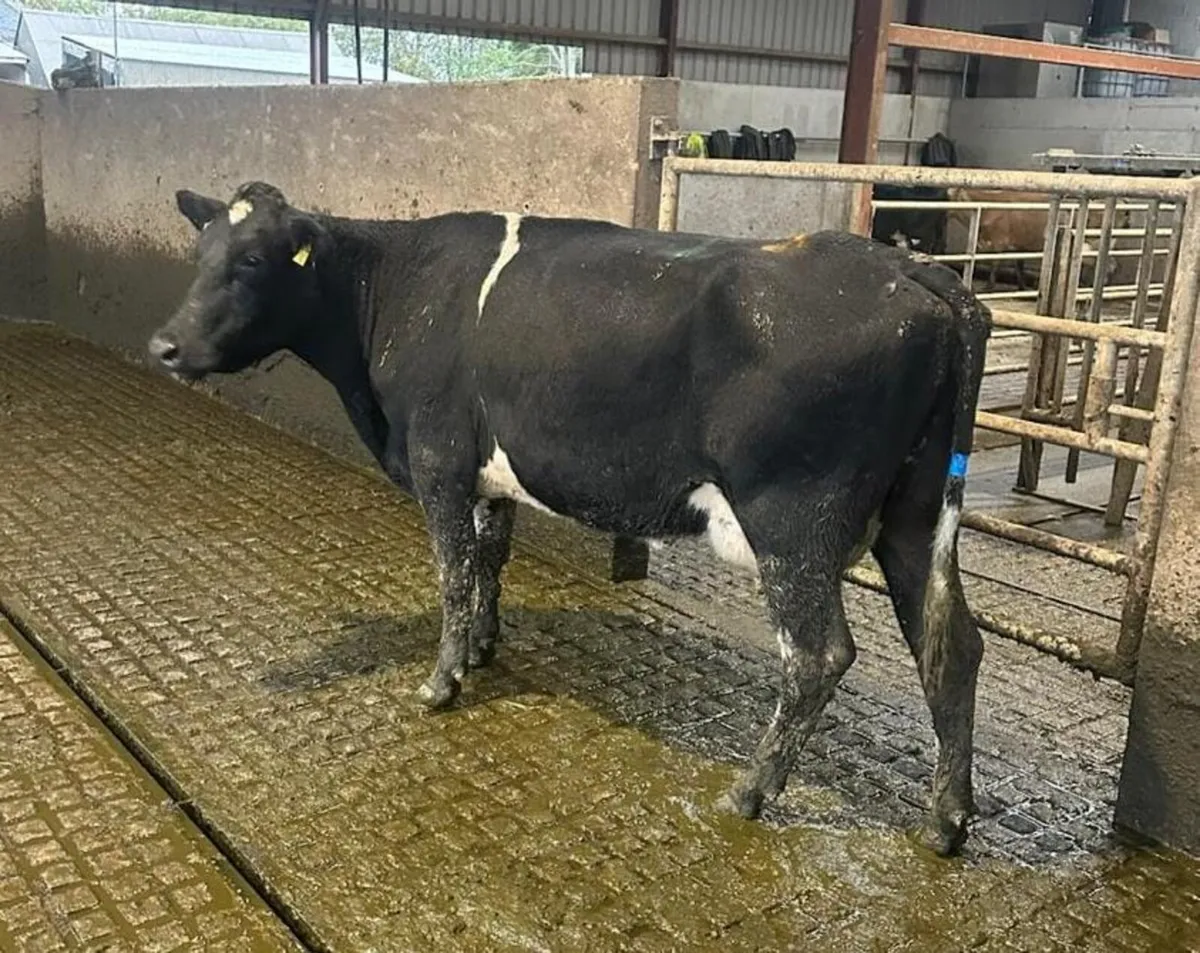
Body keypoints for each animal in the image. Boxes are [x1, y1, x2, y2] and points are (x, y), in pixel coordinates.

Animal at [149, 181, 992, 856]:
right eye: (202, 252)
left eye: (254, 261)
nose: (164, 345)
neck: (392, 292)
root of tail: (912, 270)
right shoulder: (488, 476)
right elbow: (489, 560)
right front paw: (483, 648)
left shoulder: (439, 461)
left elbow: (453, 572)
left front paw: (442, 682)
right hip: (919, 514)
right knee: (951, 644)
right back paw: (945, 821)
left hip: (793, 520)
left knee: (818, 654)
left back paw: (749, 791)